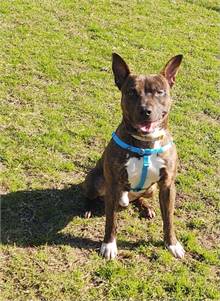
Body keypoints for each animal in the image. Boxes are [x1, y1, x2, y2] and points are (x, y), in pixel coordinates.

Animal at [83, 52, 185, 258]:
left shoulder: (167, 186)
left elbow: (169, 220)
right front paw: (109, 245)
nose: (145, 110)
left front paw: (172, 244)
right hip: (96, 180)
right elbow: (111, 221)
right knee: (91, 196)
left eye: (159, 92)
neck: (146, 143)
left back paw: (146, 208)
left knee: (140, 197)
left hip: (152, 189)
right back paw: (89, 208)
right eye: (131, 92)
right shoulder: (112, 185)